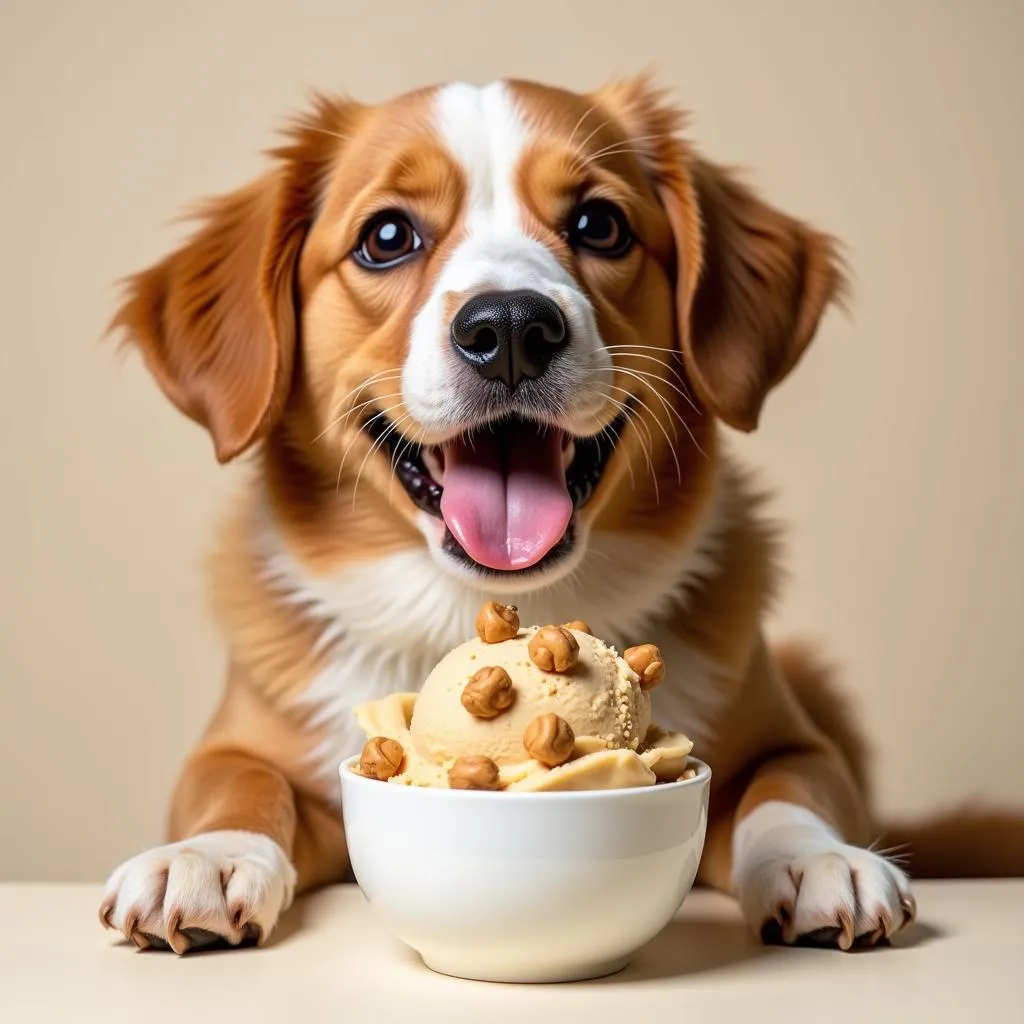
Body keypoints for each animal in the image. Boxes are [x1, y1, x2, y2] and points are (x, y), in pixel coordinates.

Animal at [99, 75, 1019, 954]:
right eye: (387, 237)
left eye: (599, 224)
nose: (509, 326)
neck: (486, 604)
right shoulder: (239, 748)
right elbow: (239, 785)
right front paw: (206, 857)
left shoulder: (797, 741)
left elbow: (788, 787)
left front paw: (817, 858)